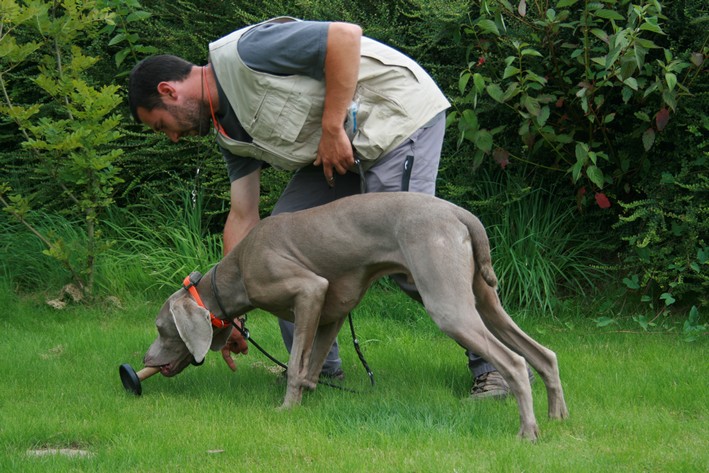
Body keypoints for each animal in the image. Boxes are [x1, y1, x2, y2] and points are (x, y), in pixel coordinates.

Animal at [141, 191, 568, 438]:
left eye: (161, 328)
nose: (144, 359)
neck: (238, 270)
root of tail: (462, 214)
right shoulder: (330, 310)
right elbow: (311, 365)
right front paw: (308, 398)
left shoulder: (308, 290)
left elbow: (295, 365)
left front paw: (285, 409)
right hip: (484, 300)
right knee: (544, 353)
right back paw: (558, 417)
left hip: (447, 304)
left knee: (515, 362)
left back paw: (527, 431)